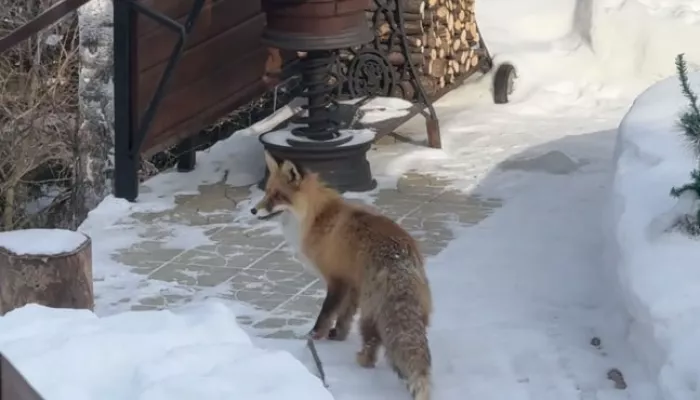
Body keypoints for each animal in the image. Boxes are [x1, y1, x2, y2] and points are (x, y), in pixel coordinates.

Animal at [246, 151, 432, 400]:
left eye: (278, 196)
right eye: (266, 191)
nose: (253, 210)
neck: (315, 218)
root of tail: (401, 257)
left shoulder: (337, 280)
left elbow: (325, 314)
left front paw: (313, 338)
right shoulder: (352, 283)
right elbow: (344, 316)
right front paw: (338, 336)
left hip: (370, 312)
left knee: (373, 342)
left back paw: (362, 360)